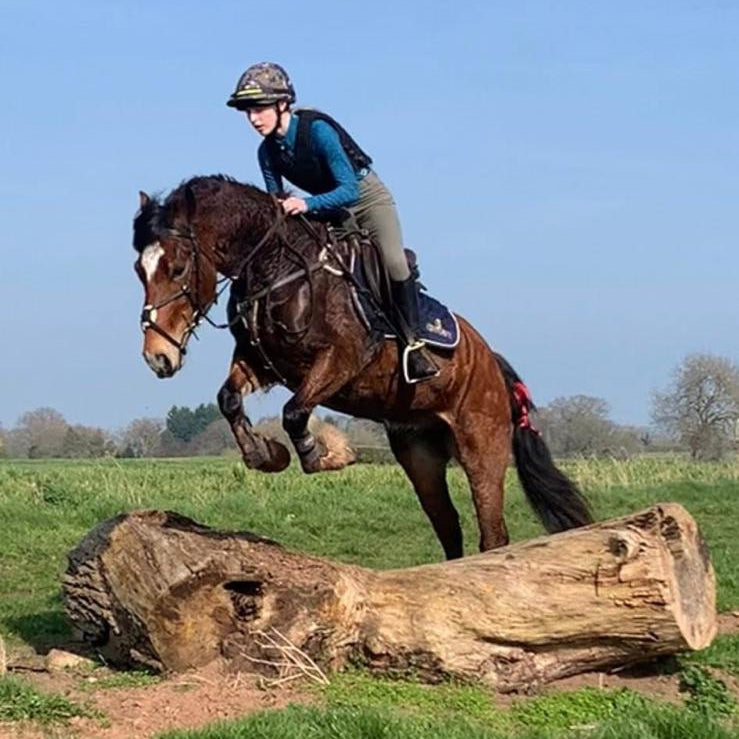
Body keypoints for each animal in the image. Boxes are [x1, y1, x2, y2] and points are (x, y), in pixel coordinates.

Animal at [132, 175, 592, 559]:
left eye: (177, 267)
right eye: (139, 269)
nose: (157, 356)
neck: (276, 267)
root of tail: (493, 365)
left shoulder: (343, 359)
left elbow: (294, 412)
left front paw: (329, 453)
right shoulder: (262, 364)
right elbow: (228, 398)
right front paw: (266, 454)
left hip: (482, 446)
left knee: (492, 532)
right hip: (420, 453)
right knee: (448, 526)